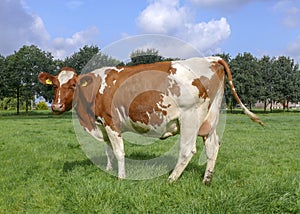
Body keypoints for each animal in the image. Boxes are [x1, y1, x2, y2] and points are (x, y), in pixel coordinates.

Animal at [38, 56, 264, 184]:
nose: (56, 106)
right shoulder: (102, 124)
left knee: (188, 150)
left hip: (190, 117)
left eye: (73, 85)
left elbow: (119, 152)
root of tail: (212, 58)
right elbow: (108, 150)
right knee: (213, 146)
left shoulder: (111, 122)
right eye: (55, 85)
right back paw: (206, 180)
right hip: (211, 118)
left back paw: (171, 179)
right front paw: (109, 169)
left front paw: (121, 177)